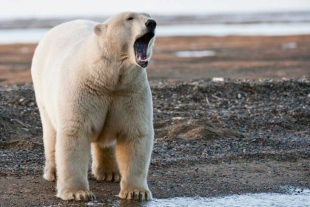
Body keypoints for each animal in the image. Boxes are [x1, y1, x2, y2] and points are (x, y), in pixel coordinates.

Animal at [30, 11, 156, 201]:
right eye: (129, 18)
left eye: (147, 15)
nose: (151, 23)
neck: (106, 77)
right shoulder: (83, 90)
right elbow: (75, 132)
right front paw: (77, 193)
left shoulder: (129, 91)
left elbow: (135, 133)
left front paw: (136, 192)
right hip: (43, 90)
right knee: (51, 131)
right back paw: (53, 171)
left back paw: (110, 172)